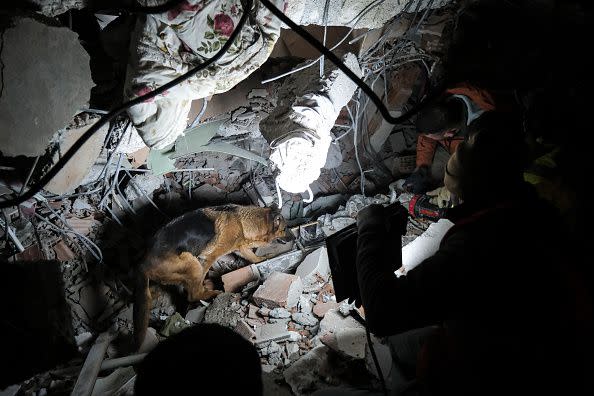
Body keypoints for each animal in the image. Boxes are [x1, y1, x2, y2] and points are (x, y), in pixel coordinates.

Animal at [132, 206, 290, 348]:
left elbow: (252, 257)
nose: (294, 238)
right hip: (193, 263)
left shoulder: (241, 248)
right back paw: (210, 293)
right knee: (193, 294)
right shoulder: (210, 257)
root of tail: (142, 263)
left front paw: (264, 258)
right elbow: (205, 272)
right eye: (285, 229)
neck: (242, 221)